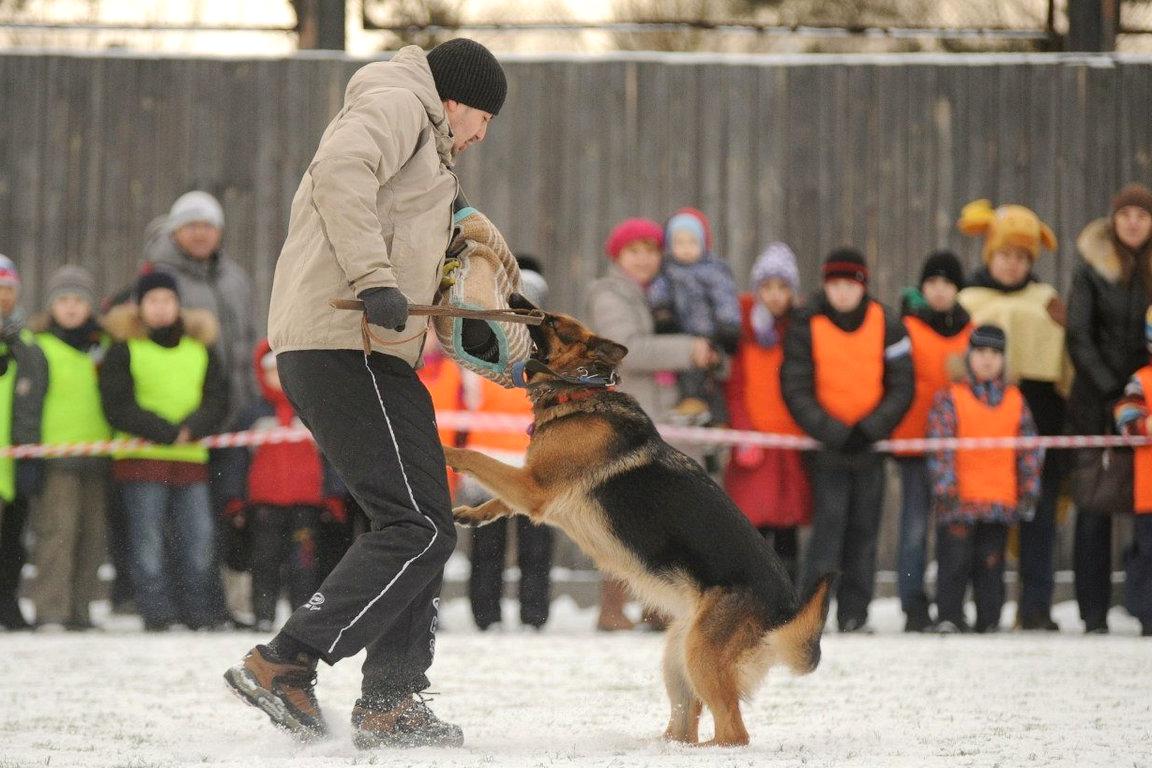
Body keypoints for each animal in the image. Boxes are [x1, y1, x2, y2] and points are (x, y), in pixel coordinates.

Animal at [444, 310, 834, 746]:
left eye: (557, 325)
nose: (516, 302)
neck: (580, 392)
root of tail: (786, 609)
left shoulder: (534, 488)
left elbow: (476, 457)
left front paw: (442, 447)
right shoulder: (533, 490)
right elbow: (498, 495)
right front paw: (473, 512)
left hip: (700, 655)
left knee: (734, 732)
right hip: (678, 654)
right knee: (686, 724)